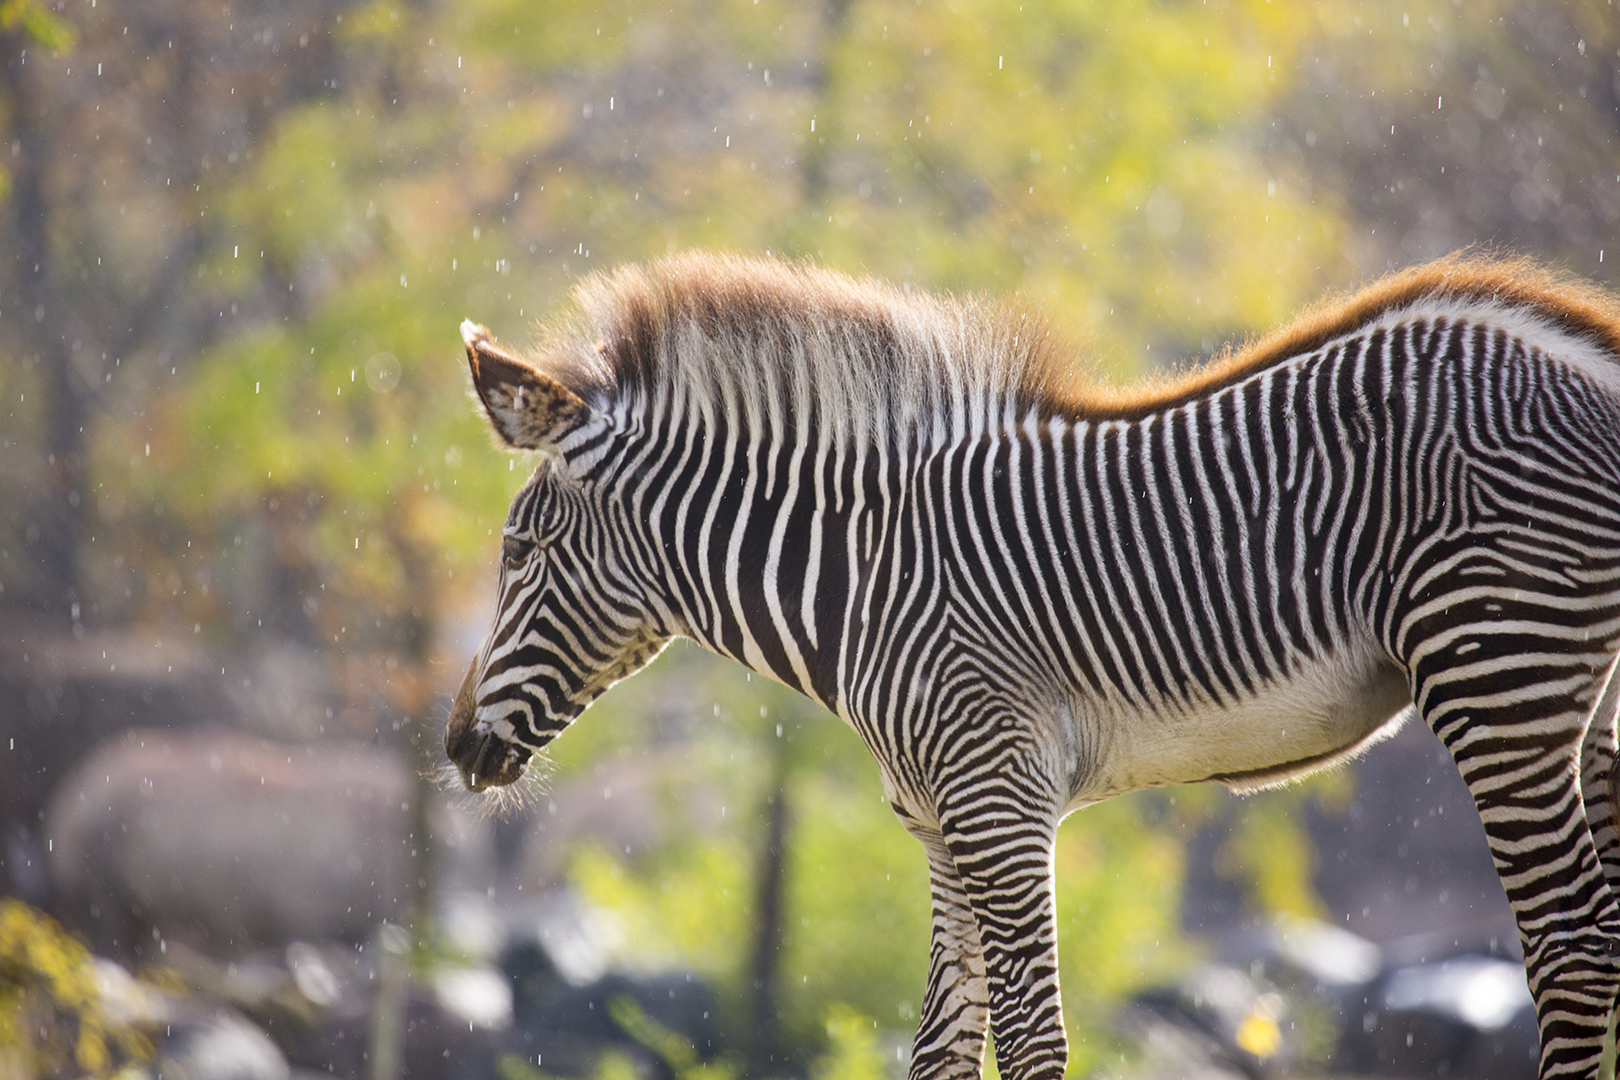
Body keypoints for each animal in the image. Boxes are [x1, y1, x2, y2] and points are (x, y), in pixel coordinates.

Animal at [444, 252, 1620, 1080]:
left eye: (517, 550)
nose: (456, 747)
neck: (868, 579)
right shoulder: (941, 822)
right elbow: (941, 1048)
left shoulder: (997, 802)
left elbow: (1032, 1040)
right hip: (1589, 707)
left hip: (1498, 674)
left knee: (1570, 947)